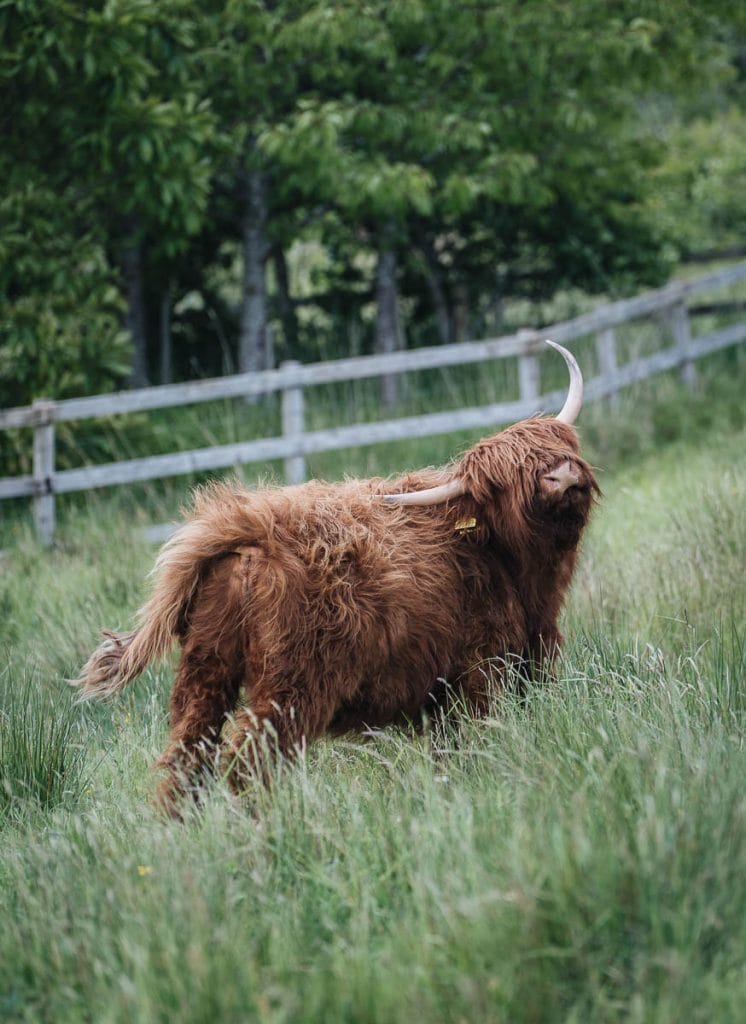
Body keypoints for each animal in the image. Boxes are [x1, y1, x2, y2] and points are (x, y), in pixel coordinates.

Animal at [74, 340, 598, 814]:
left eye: (560, 446)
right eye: (504, 481)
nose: (562, 477)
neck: (504, 562)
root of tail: (254, 527)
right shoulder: (481, 669)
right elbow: (475, 739)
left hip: (205, 671)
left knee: (186, 756)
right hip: (290, 687)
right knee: (248, 762)